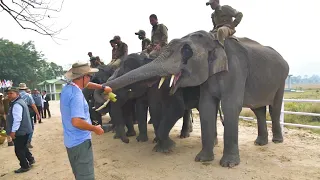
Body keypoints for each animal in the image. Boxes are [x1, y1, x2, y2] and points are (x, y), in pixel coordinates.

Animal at [95, 30, 290, 167]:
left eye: (187, 51)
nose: (104, 88)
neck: (214, 40)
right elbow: (204, 107)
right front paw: (200, 159)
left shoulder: (235, 70)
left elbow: (228, 106)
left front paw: (228, 165)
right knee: (258, 109)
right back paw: (260, 143)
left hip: (282, 79)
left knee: (274, 107)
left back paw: (276, 141)